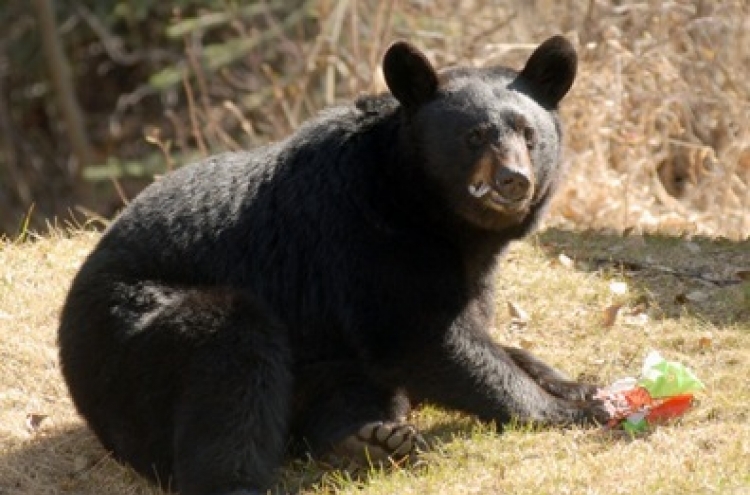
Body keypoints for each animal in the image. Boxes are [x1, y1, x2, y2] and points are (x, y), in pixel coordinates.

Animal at [60, 35, 612, 495]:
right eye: (474, 136)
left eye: (528, 134)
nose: (513, 181)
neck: (425, 204)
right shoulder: (363, 234)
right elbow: (424, 336)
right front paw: (572, 411)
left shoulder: (464, 266)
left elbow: (479, 332)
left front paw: (581, 384)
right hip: (133, 345)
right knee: (231, 358)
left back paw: (371, 442)